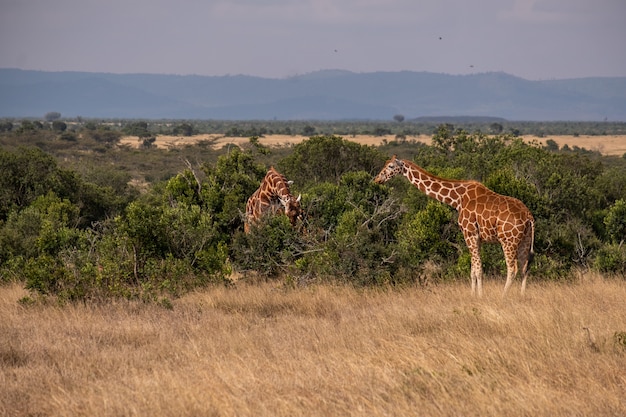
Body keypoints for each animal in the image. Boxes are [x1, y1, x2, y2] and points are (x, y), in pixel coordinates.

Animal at [372, 155, 532, 296]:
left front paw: (480, 296)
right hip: (525, 240)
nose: (377, 179)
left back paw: (503, 296)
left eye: (390, 166)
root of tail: (528, 216)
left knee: (512, 269)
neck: (457, 199)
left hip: (508, 241)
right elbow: (473, 270)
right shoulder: (476, 237)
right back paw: (522, 296)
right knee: (525, 267)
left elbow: (478, 269)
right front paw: (472, 295)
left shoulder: (470, 233)